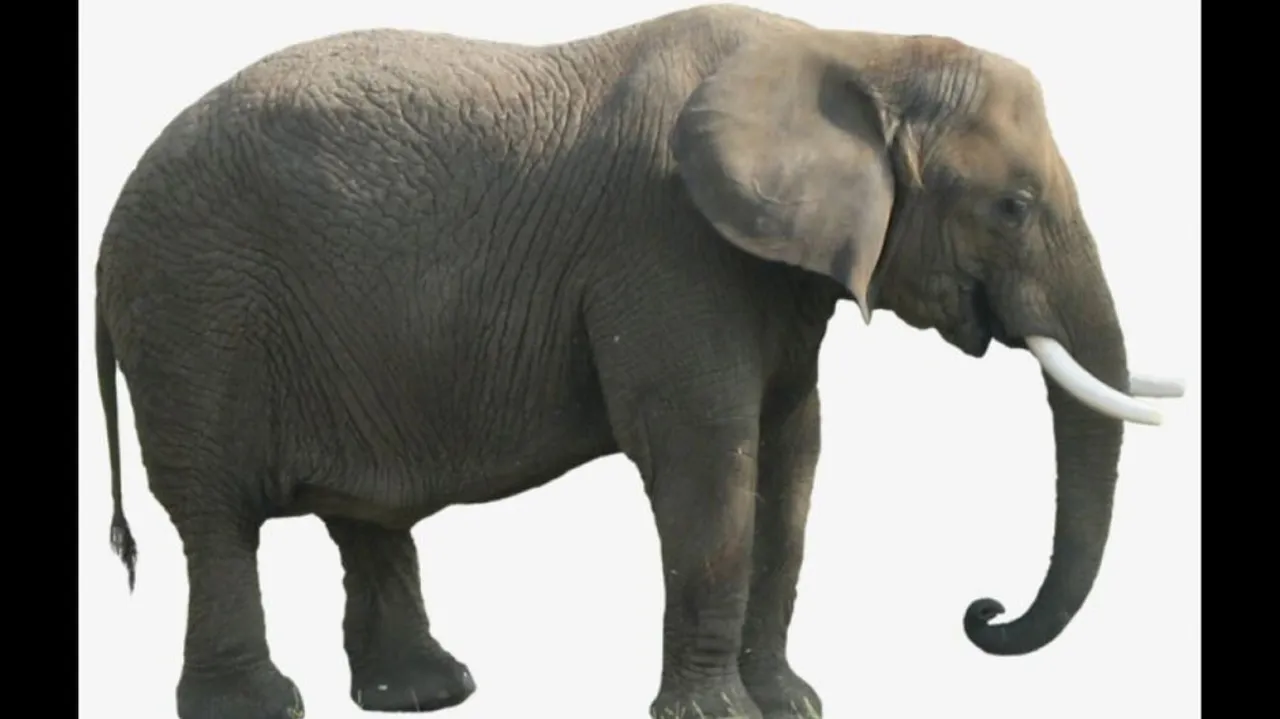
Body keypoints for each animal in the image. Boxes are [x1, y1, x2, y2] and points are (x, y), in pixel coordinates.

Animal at [92, 4, 1186, 719]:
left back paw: (431, 692)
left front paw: (791, 705)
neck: (855, 50)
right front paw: (721, 716)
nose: (981, 611)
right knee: (215, 517)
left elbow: (789, 458)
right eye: (1012, 206)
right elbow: (706, 456)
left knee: (365, 515)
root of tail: (105, 237)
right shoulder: (665, 247)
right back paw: (261, 706)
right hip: (197, 315)